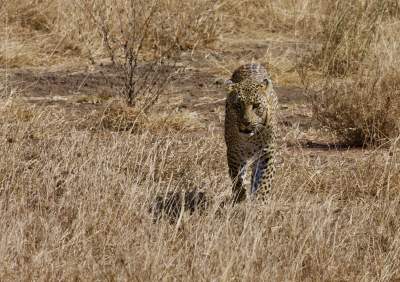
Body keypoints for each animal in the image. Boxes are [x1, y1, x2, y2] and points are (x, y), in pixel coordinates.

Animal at [225, 63, 278, 204]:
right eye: (238, 105)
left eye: (256, 105)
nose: (246, 122)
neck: (250, 139)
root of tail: (251, 63)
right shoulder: (234, 152)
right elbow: (237, 179)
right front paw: (240, 199)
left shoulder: (267, 152)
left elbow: (264, 181)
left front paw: (259, 202)